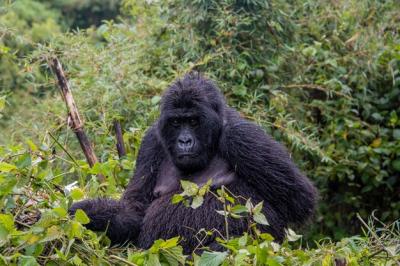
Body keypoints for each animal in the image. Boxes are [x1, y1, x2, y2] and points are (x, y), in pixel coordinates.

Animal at [70, 73, 318, 254]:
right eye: (176, 122)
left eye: (192, 121)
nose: (184, 141)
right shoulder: (151, 142)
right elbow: (135, 208)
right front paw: (85, 213)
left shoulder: (241, 136)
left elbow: (297, 201)